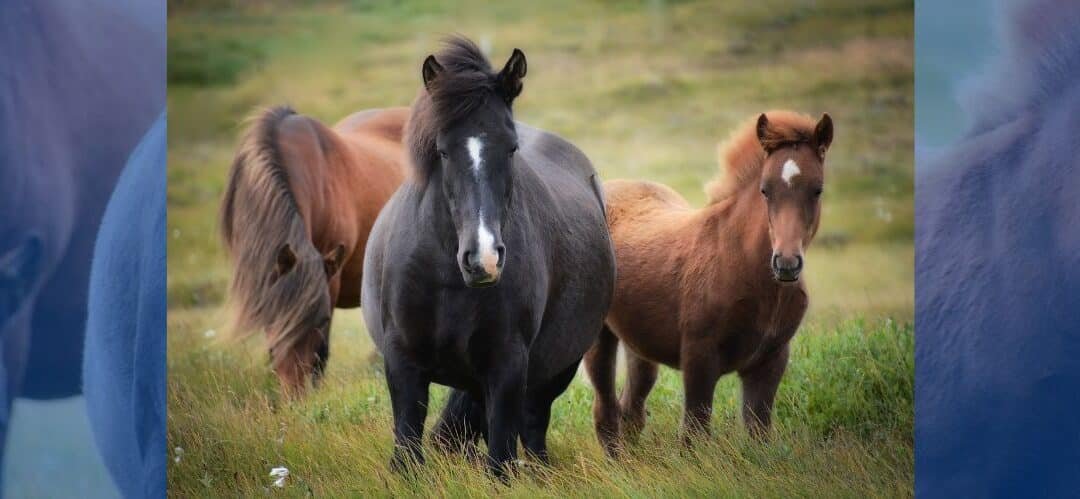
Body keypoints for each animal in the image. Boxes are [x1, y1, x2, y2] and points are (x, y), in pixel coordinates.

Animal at [362, 37, 615, 477]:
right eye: (443, 151)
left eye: (511, 148)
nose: (484, 259)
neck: (446, 278)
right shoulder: (403, 362)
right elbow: (407, 449)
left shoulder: (507, 365)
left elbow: (500, 459)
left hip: (555, 370)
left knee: (533, 427)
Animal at [584, 111, 833, 456]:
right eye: (765, 189)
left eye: (817, 189)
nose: (786, 264)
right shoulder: (699, 357)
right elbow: (694, 433)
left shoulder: (770, 361)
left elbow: (758, 432)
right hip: (599, 336)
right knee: (605, 410)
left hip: (639, 343)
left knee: (631, 408)